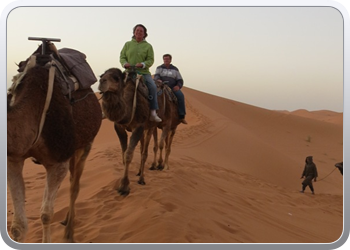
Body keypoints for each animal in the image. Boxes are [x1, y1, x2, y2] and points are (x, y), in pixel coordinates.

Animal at [7, 42, 101, 242]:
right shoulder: (13, 159)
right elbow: (18, 226)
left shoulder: (58, 162)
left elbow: (46, 215)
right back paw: (66, 221)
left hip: (86, 144)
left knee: (75, 186)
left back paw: (69, 233)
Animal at [97, 67, 154, 196]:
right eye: (101, 75)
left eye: (116, 78)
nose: (102, 82)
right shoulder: (118, 127)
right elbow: (123, 154)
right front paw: (123, 183)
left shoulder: (139, 127)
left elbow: (128, 155)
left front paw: (124, 187)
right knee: (142, 148)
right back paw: (139, 172)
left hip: (151, 127)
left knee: (145, 152)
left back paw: (142, 179)